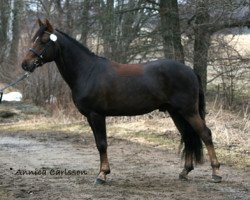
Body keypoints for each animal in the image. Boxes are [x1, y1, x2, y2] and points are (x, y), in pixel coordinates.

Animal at [21, 19, 221, 184]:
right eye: (34, 39)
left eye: (43, 41)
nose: (25, 64)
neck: (87, 72)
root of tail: (190, 71)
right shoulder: (90, 117)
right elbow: (98, 143)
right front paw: (103, 172)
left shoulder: (97, 115)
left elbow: (102, 144)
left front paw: (102, 175)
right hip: (176, 112)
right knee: (188, 136)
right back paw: (185, 172)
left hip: (188, 111)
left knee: (205, 134)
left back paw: (216, 173)